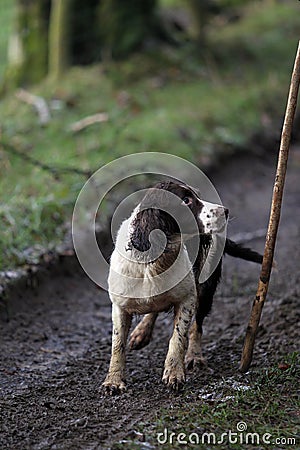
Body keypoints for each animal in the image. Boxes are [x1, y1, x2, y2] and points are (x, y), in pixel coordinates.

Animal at [102, 181, 262, 392]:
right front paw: (113, 380)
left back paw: (194, 355)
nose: (225, 211)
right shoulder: (119, 305)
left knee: (197, 325)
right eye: (186, 200)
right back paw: (141, 332)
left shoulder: (188, 298)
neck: (153, 262)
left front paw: (174, 373)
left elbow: (178, 337)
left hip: (205, 288)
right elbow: (117, 343)